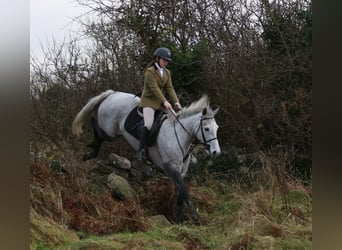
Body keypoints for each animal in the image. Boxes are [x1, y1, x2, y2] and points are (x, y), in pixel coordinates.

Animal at [72, 89, 222, 223]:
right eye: (206, 129)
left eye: (217, 128)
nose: (216, 152)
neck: (178, 135)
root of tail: (113, 94)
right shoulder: (171, 167)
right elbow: (185, 192)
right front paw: (196, 217)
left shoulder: (182, 171)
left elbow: (180, 194)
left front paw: (180, 218)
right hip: (110, 130)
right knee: (95, 124)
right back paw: (90, 151)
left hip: (112, 131)